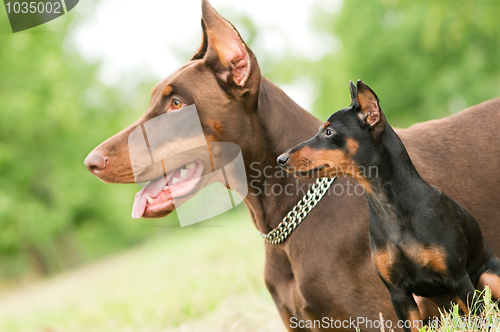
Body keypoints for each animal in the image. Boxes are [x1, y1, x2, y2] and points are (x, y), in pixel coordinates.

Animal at [280, 80, 500, 330]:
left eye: (329, 131)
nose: (281, 159)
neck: (390, 208)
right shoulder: (399, 295)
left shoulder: (458, 280)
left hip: (488, 278)